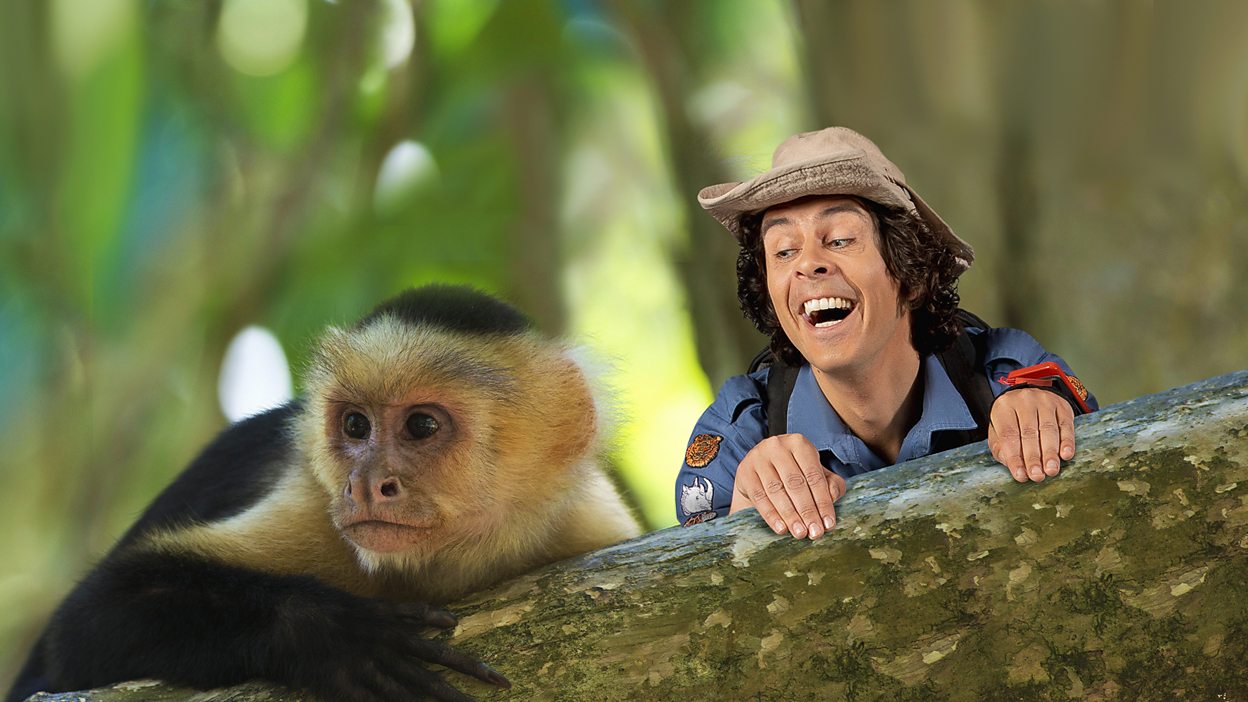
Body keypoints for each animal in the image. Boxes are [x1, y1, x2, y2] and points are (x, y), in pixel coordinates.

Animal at [7, 285, 641, 702]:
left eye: (422, 426)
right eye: (355, 425)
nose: (366, 484)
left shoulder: (586, 520)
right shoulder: (313, 504)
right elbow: (85, 625)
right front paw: (331, 635)